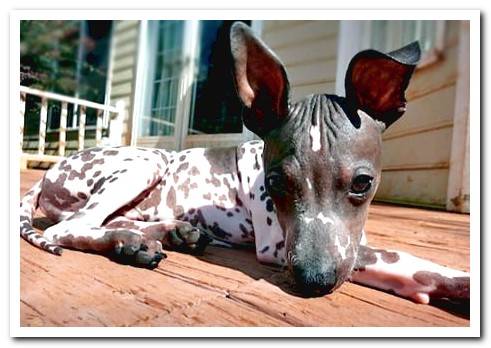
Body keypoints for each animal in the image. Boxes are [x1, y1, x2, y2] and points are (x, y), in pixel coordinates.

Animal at [21, 22, 470, 304]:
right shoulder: (279, 244)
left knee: (105, 220)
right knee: (71, 227)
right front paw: (456, 282)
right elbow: (401, 258)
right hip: (143, 162)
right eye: (275, 183)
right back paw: (133, 241)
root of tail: (48, 176)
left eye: (363, 183)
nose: (313, 282)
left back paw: (158, 235)